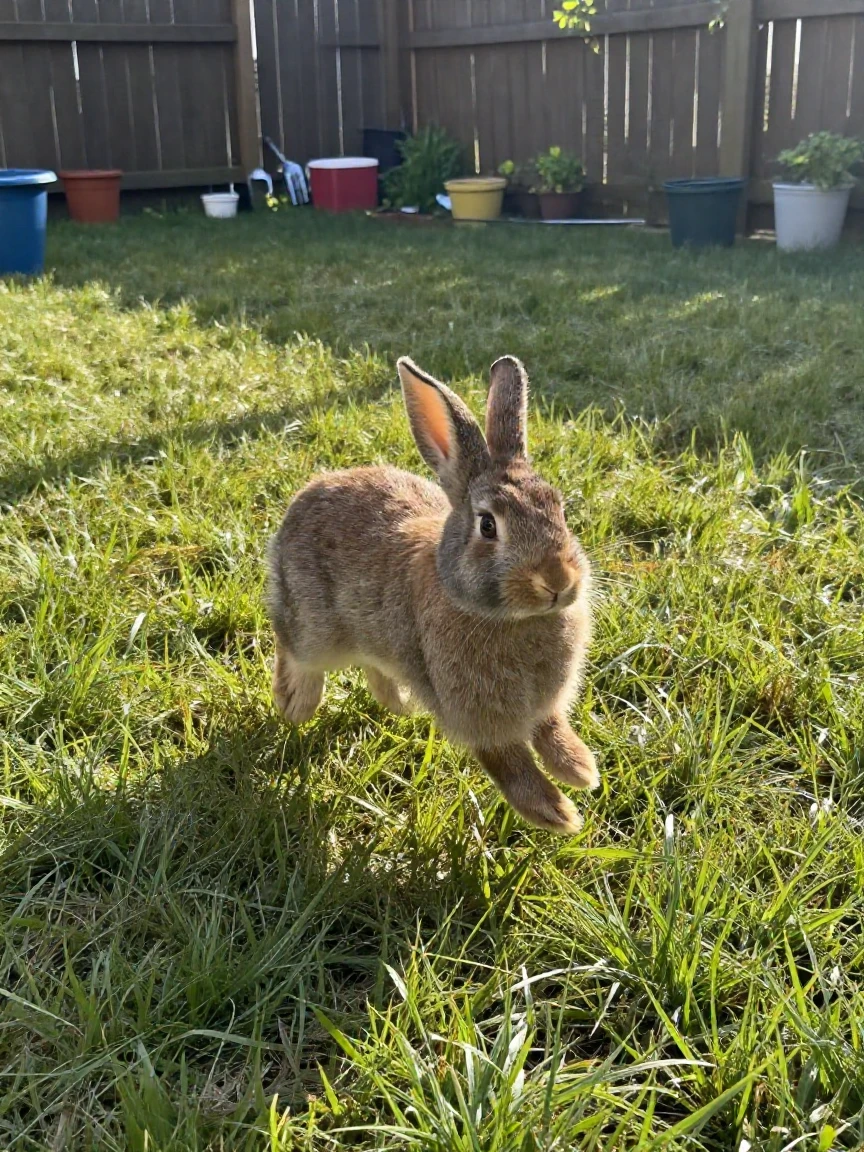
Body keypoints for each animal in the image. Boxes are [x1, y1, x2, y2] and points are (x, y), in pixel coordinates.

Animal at [266, 355, 598, 834]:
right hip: (314, 629)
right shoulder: (473, 713)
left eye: (560, 510)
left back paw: (400, 704)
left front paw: (580, 768)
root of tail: (308, 493)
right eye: (488, 526)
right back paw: (295, 705)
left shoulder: (543, 706)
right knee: (292, 647)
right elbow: (509, 762)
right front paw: (557, 814)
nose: (556, 580)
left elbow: (550, 729)